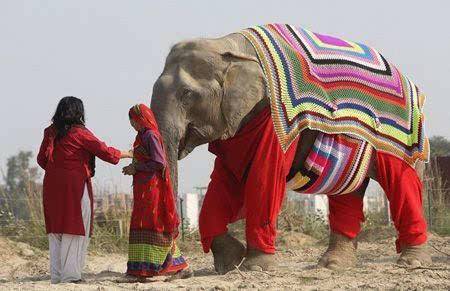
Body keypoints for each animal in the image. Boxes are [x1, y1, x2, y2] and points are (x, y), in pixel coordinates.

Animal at [149, 24, 430, 274]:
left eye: (187, 94)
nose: (179, 272)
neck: (227, 43)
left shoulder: (274, 118)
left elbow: (264, 174)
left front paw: (256, 268)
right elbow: (224, 178)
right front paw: (230, 264)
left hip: (403, 136)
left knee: (402, 181)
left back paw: (411, 263)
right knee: (347, 192)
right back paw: (332, 266)